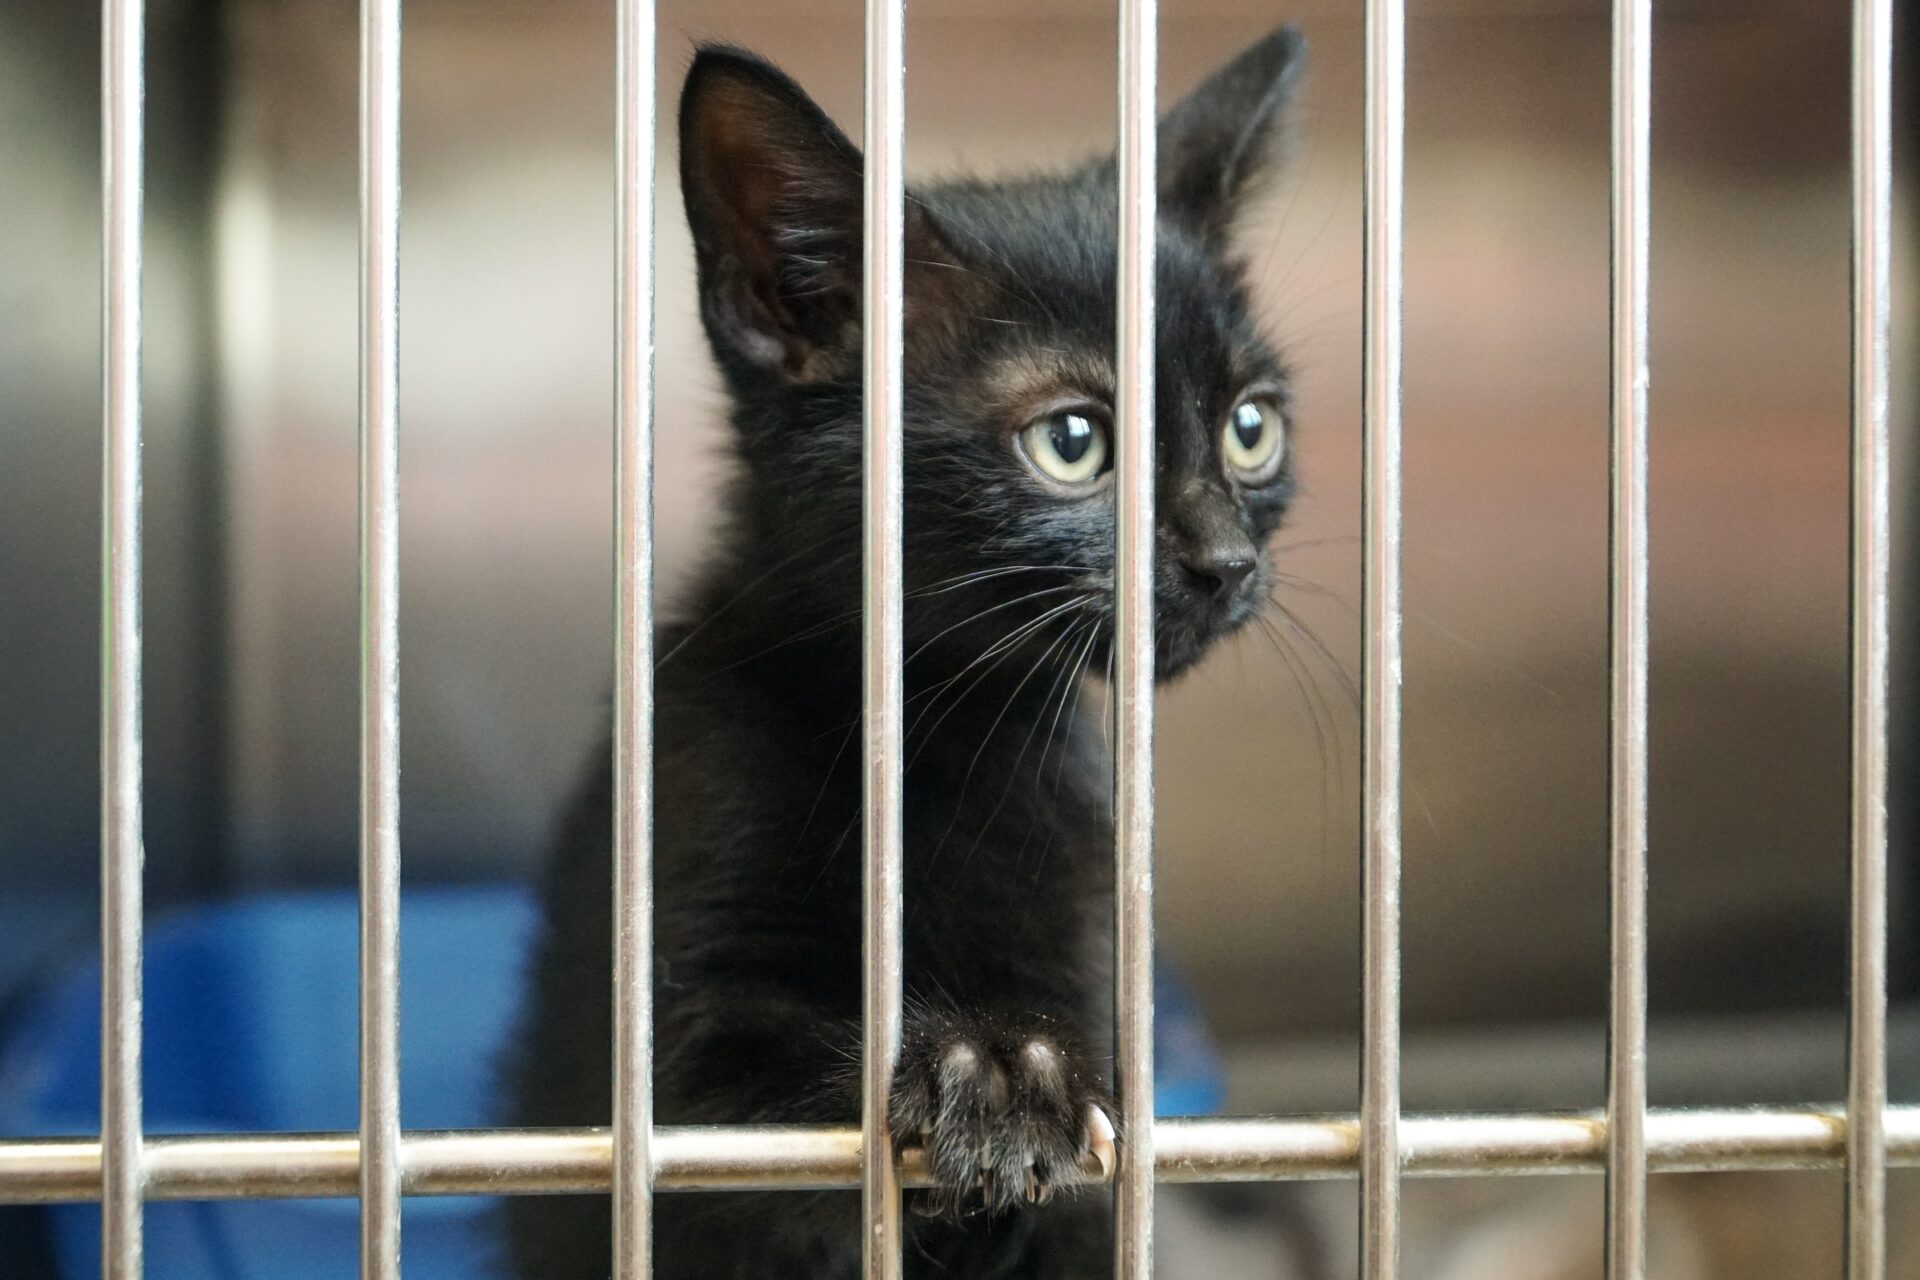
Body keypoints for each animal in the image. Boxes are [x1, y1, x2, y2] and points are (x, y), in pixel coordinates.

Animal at [503, 29, 1305, 1280]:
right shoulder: (676, 1039)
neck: (943, 732)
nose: (1227, 560)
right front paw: (988, 1070)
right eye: (1072, 441)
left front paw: (1018, 1061)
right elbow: (748, 1108)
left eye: (1250, 425)